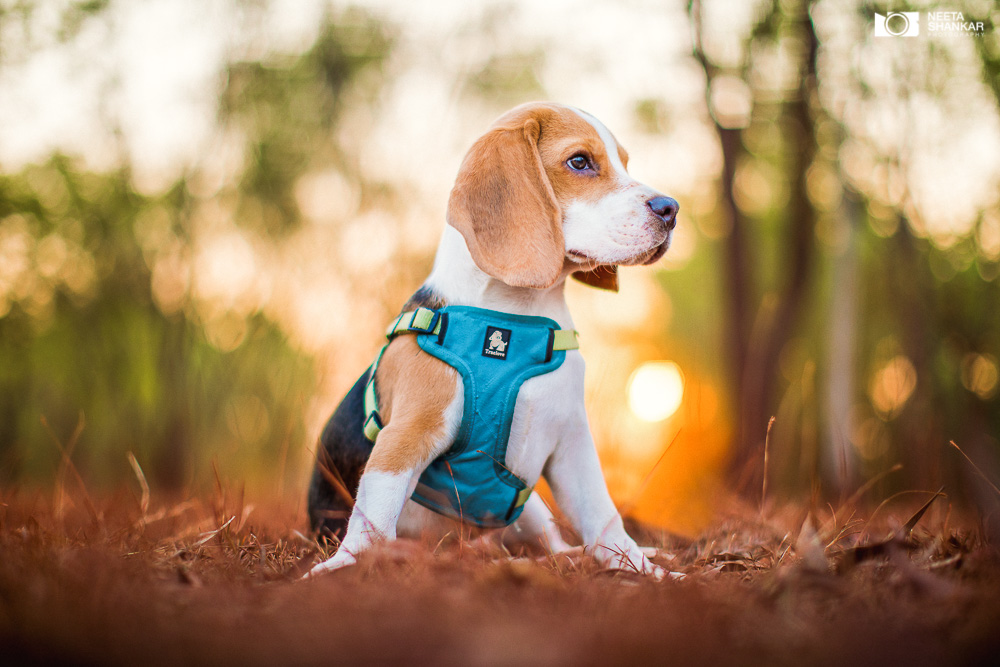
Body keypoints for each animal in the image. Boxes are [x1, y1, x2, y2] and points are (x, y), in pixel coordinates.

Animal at [304, 100, 680, 580]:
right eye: (579, 161)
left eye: (625, 164)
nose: (671, 208)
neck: (519, 318)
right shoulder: (406, 436)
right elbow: (373, 521)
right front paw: (347, 564)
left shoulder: (572, 444)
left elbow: (603, 517)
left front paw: (642, 570)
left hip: (531, 508)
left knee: (551, 544)